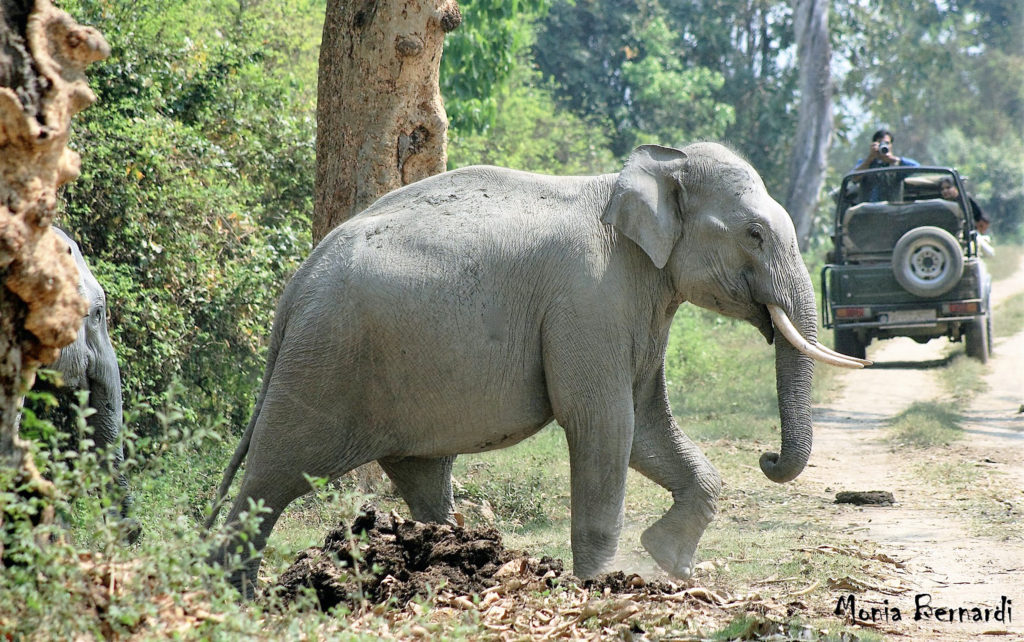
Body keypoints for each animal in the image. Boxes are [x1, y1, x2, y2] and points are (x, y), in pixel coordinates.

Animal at [207, 143, 864, 593]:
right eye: (753, 234)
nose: (768, 458)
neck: (640, 176)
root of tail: (295, 288)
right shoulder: (591, 301)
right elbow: (604, 424)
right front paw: (600, 587)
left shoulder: (634, 304)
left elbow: (646, 427)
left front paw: (671, 566)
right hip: (323, 361)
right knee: (272, 477)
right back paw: (232, 595)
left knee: (420, 473)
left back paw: (450, 563)